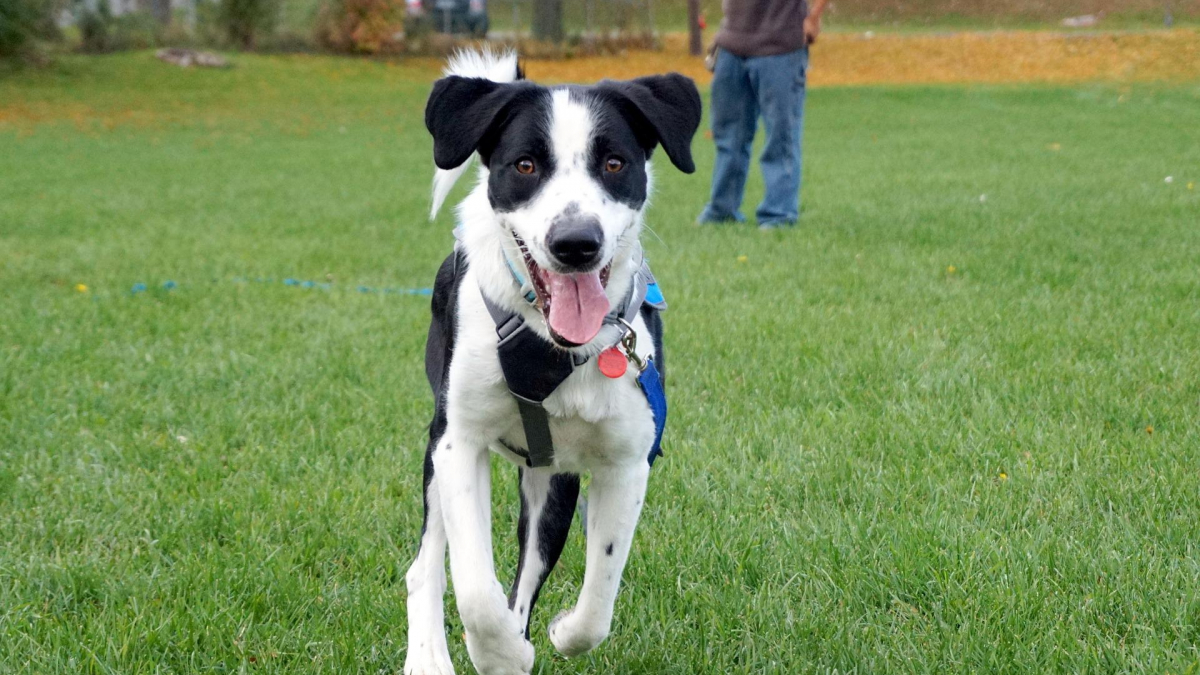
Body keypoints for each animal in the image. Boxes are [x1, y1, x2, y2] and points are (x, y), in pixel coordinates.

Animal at [405, 48, 700, 672]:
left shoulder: (627, 462)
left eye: (614, 162)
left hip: (551, 482)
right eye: (524, 165)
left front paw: (559, 633)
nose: (576, 243)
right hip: (437, 449)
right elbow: (474, 588)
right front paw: (498, 653)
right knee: (426, 566)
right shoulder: (458, 443)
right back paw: (429, 656)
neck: (552, 343)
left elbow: (597, 601)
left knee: (528, 574)